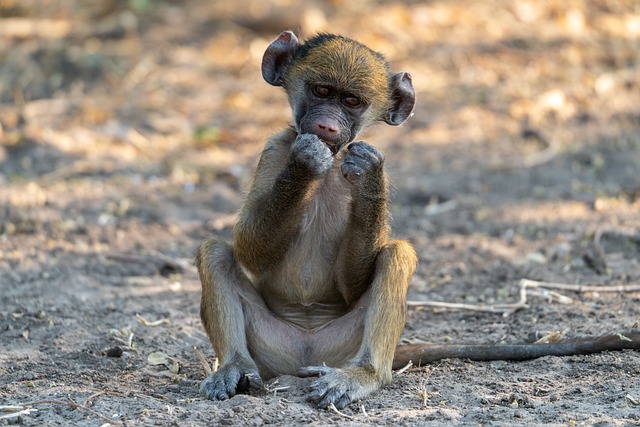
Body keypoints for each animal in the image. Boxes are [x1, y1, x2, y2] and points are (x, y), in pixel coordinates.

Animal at [198, 31, 418, 410]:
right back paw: (234, 368)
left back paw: (361, 376)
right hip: (270, 350)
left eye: (352, 101)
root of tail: (305, 352)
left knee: (397, 254)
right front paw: (305, 163)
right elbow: (248, 249)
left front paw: (369, 176)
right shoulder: (275, 148)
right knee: (214, 252)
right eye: (322, 91)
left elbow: (354, 284)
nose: (326, 125)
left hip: (339, 348)